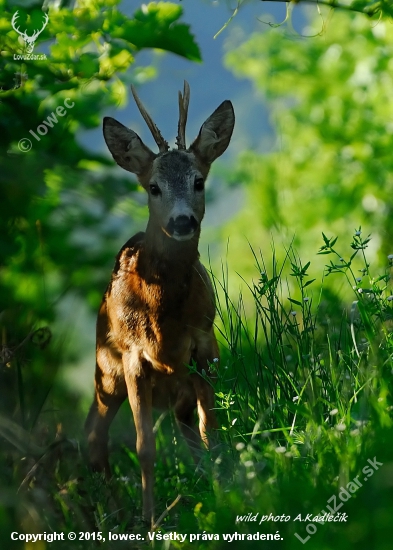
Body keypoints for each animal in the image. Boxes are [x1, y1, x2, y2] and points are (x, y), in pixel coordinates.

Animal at [85, 83, 233, 532]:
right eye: (153, 187)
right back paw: (113, 515)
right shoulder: (133, 358)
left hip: (174, 391)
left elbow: (210, 430)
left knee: (188, 433)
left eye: (198, 181)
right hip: (105, 372)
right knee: (94, 438)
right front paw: (150, 523)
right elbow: (144, 447)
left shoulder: (204, 344)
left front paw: (229, 493)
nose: (182, 221)